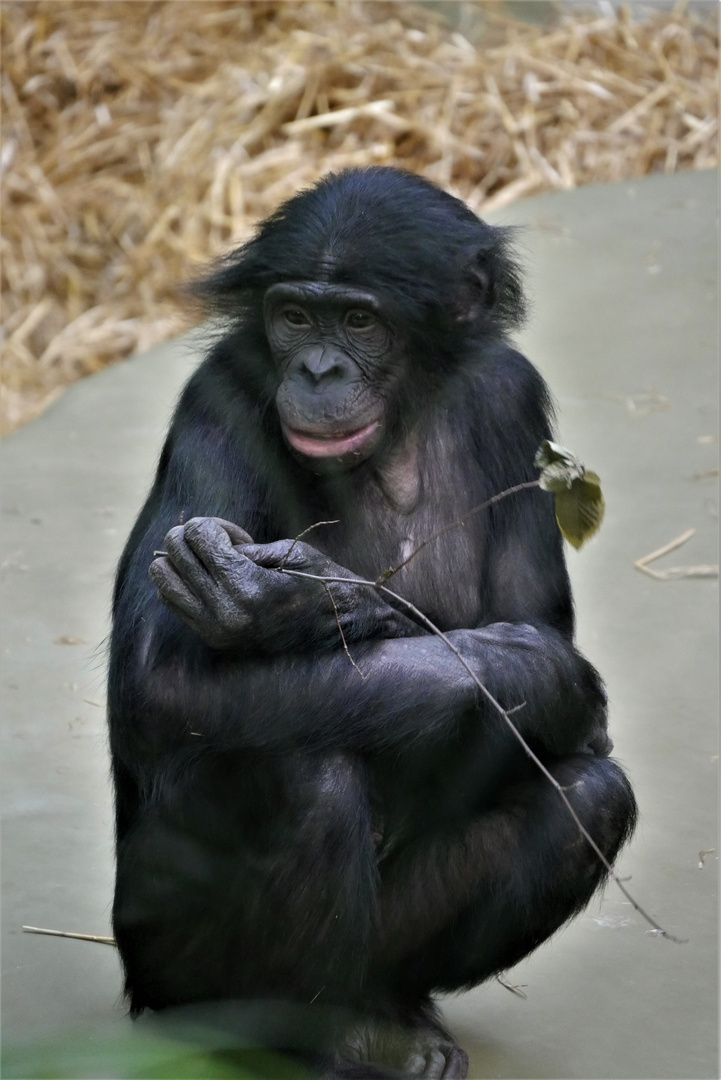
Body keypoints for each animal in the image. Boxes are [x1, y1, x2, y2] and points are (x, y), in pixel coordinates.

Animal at [108, 168, 634, 1080]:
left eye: (359, 321)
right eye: (293, 315)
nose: (317, 368)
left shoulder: (511, 397)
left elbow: (536, 628)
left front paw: (308, 596)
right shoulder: (216, 396)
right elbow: (160, 679)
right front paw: (318, 600)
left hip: (390, 954)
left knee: (589, 798)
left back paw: (391, 1020)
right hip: (168, 965)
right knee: (301, 773)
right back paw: (325, 1034)